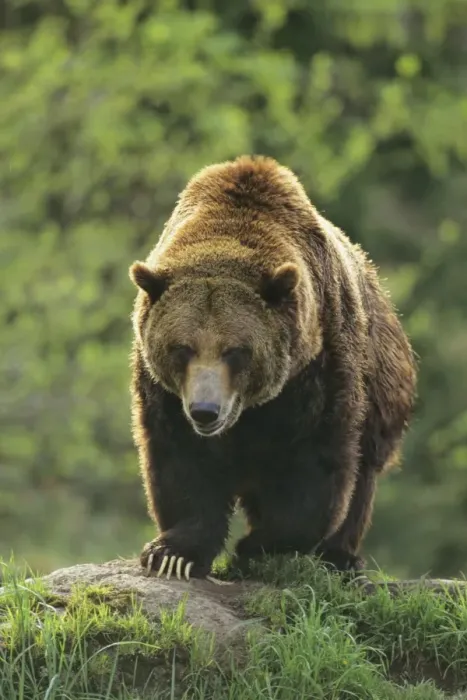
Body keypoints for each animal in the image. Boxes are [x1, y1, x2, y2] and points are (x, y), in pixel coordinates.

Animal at [129, 155, 417, 581]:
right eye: (182, 348)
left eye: (235, 351)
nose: (205, 411)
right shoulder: (162, 392)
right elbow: (180, 461)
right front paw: (173, 554)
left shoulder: (316, 368)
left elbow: (313, 465)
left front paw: (260, 548)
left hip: (382, 387)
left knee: (362, 476)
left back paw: (339, 556)